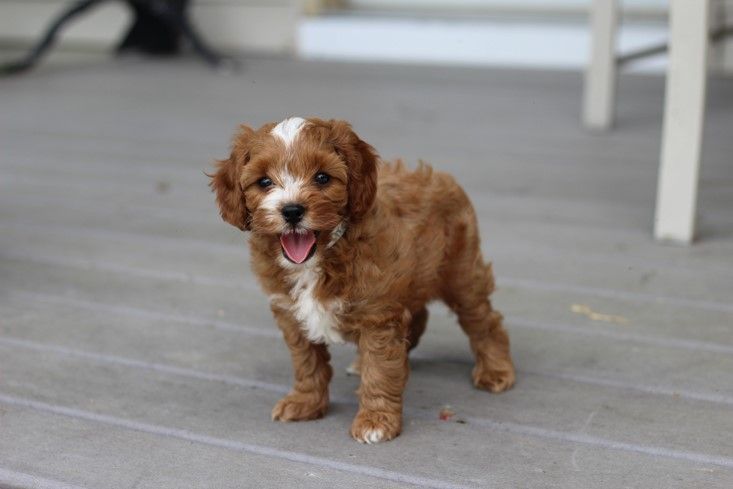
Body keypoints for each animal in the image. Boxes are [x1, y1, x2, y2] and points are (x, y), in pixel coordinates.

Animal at [209, 117, 512, 442]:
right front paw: (305, 403)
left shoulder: (377, 315)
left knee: (484, 320)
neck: (319, 259)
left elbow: (380, 369)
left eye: (322, 177)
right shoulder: (291, 313)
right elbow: (307, 362)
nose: (291, 210)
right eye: (264, 182)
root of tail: (442, 176)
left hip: (460, 274)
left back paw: (496, 371)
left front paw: (375, 420)